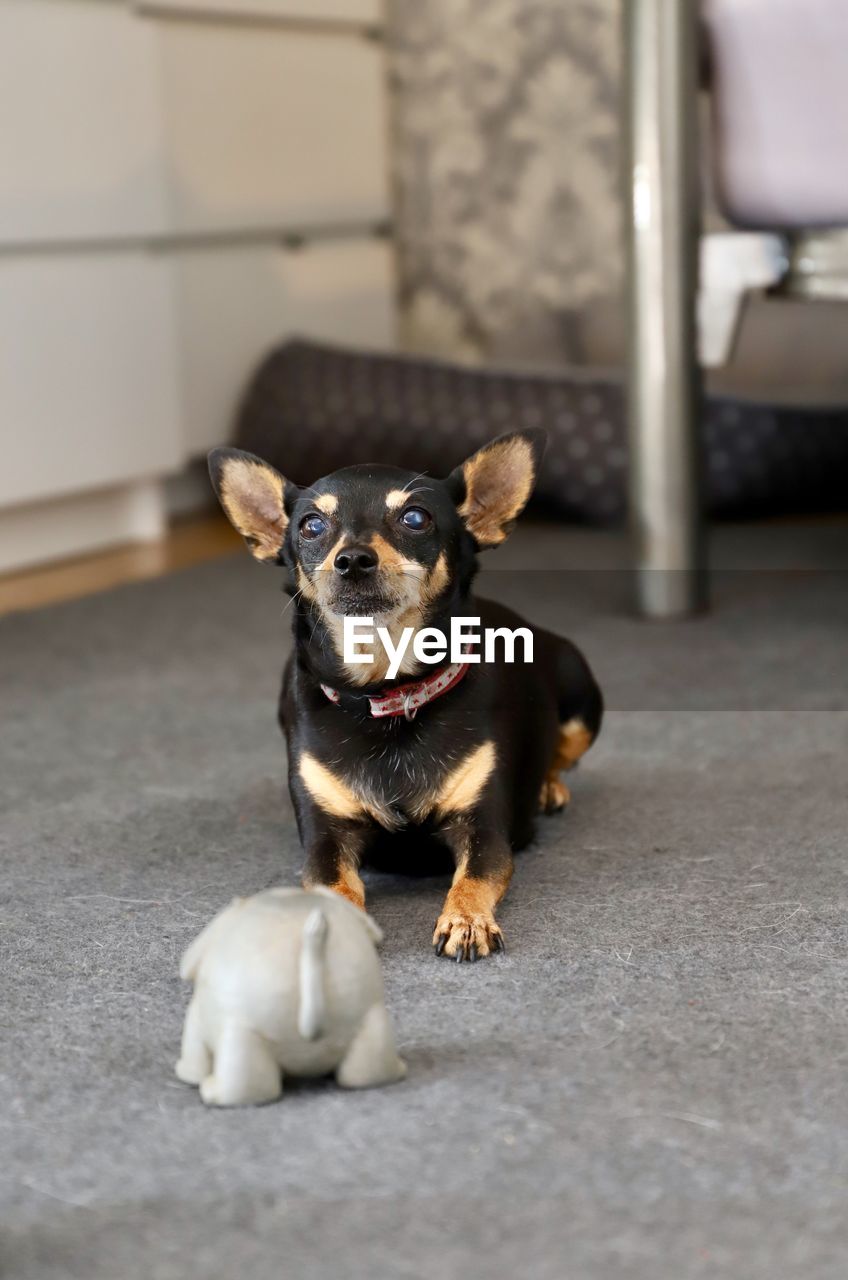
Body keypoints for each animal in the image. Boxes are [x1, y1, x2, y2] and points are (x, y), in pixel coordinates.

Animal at [208, 430, 602, 962]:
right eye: (311, 526)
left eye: (415, 518)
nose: (352, 558)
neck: (388, 693)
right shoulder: (324, 839)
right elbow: (333, 887)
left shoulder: (486, 829)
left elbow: (475, 877)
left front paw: (465, 920)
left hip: (581, 694)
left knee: (563, 755)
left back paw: (549, 786)